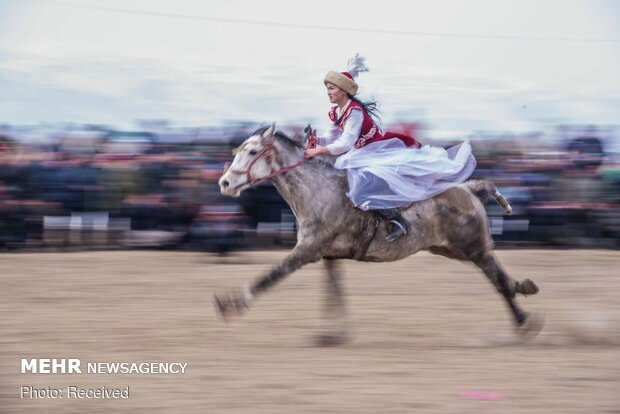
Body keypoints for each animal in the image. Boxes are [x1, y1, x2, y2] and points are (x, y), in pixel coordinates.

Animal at [216, 124, 540, 344]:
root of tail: (470, 188)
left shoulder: (307, 250)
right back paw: (523, 290)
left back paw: (524, 320)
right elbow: (335, 292)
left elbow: (272, 275)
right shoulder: (328, 255)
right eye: (238, 150)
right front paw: (332, 334)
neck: (320, 189)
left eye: (253, 152)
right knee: (499, 276)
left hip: (472, 247)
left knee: (498, 280)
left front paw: (231, 303)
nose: (225, 183)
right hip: (453, 249)